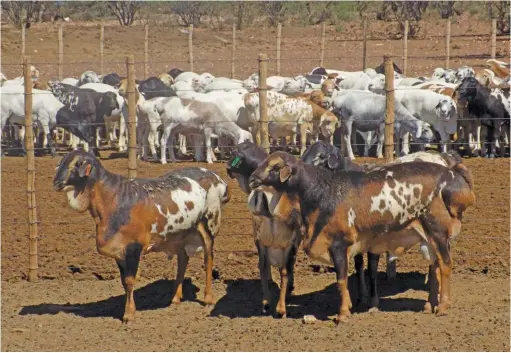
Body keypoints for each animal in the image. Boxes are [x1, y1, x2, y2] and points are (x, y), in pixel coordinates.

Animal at [53, 149, 230, 322]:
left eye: (77, 163)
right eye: (62, 161)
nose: (56, 183)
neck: (114, 200)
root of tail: (219, 180)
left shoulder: (133, 248)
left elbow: (130, 281)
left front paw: (129, 314)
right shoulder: (119, 252)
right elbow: (124, 282)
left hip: (208, 224)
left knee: (208, 259)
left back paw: (208, 298)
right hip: (179, 234)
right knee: (182, 260)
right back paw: (175, 298)